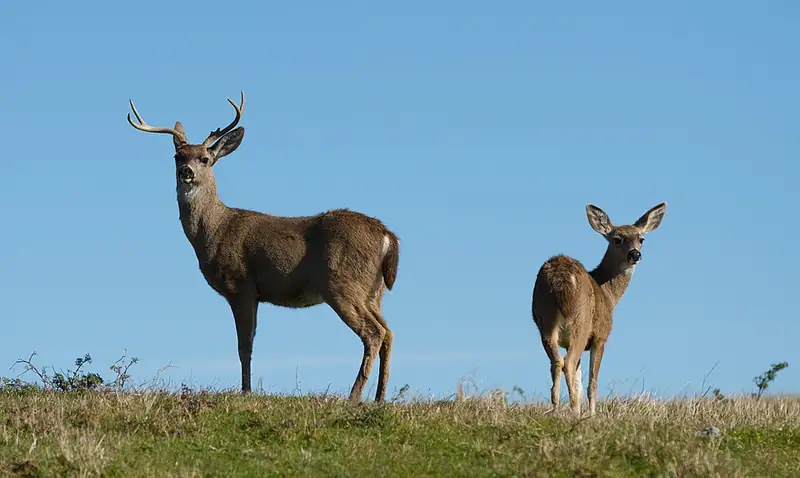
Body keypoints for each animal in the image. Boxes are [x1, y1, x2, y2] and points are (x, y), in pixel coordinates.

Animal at [126, 92, 401, 402]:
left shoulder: (241, 285)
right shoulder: (255, 294)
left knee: (373, 333)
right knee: (389, 332)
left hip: (343, 283)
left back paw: (353, 397)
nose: (186, 171)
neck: (215, 230)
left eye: (205, 158)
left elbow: (244, 345)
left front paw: (245, 391)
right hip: (373, 291)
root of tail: (387, 236)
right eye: (177, 156)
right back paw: (379, 397)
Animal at [531, 202, 666, 417]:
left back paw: (556, 409)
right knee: (568, 362)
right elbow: (591, 382)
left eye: (641, 239)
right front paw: (591, 415)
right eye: (617, 239)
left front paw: (579, 410)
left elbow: (579, 380)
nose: (635, 254)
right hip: (581, 322)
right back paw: (571, 411)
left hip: (544, 319)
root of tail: (560, 277)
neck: (609, 295)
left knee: (557, 361)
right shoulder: (601, 337)